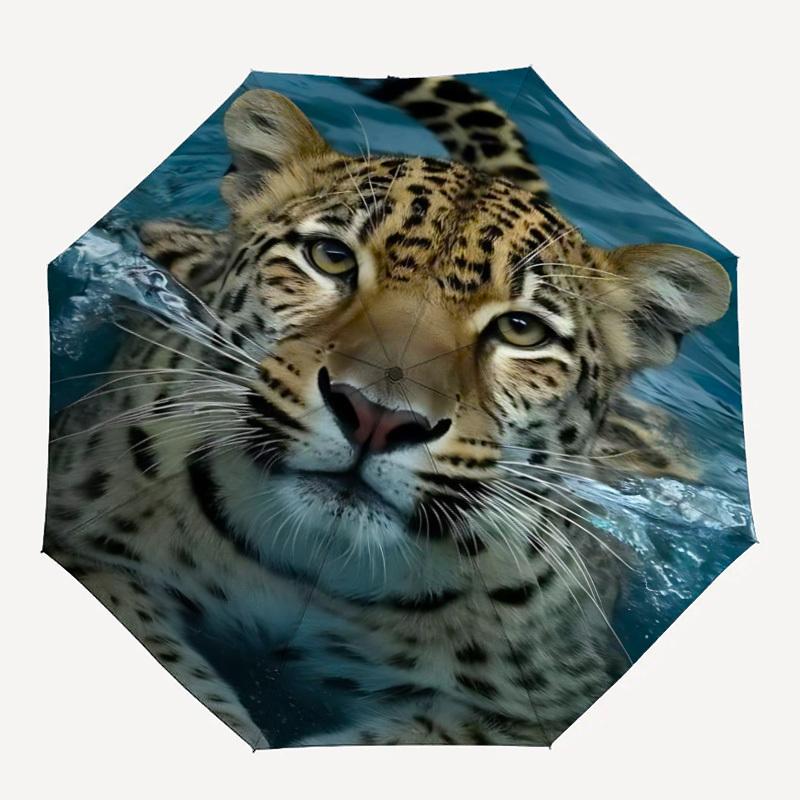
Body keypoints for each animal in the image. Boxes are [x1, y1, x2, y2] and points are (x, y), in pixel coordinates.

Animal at [44, 75, 730, 748]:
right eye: (330, 257)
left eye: (521, 330)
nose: (376, 416)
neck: (314, 563)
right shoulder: (85, 547)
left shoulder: (545, 706)